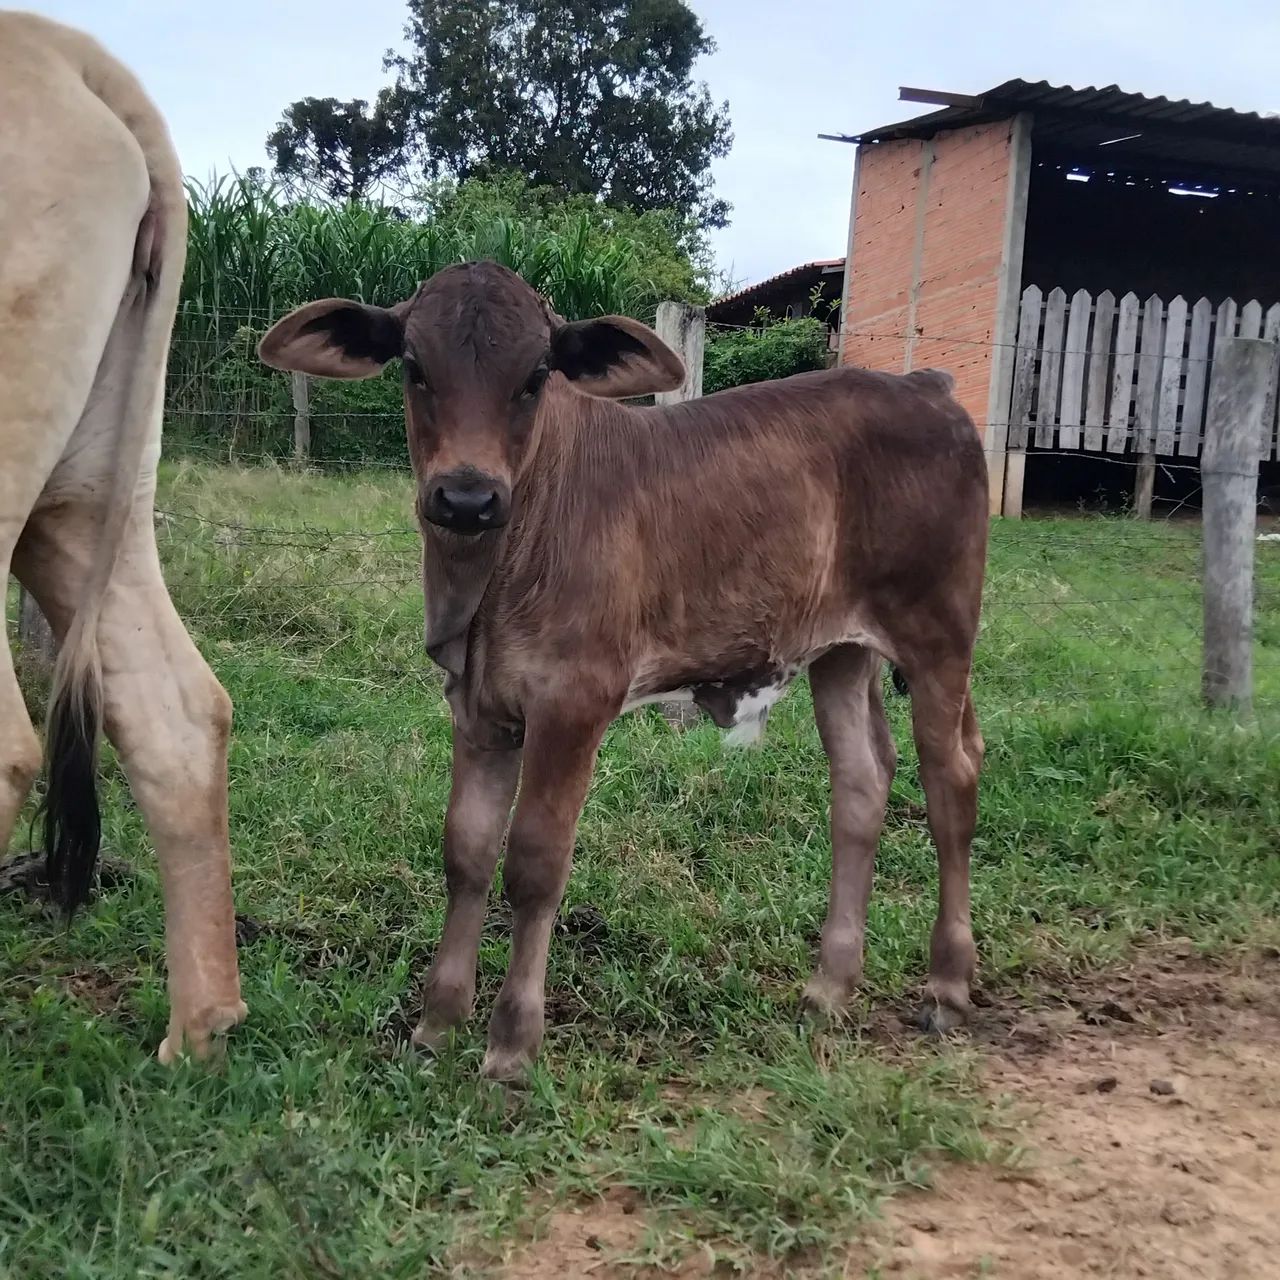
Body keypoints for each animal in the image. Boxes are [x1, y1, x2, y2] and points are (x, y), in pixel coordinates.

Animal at [259, 261, 988, 1082]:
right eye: (415, 366)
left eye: (536, 375)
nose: (467, 496)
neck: (493, 570)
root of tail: (925, 385)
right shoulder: (478, 710)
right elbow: (466, 852)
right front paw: (437, 1023)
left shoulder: (573, 703)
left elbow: (535, 862)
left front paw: (510, 1046)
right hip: (840, 650)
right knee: (860, 785)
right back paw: (830, 987)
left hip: (939, 635)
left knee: (951, 781)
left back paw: (947, 985)